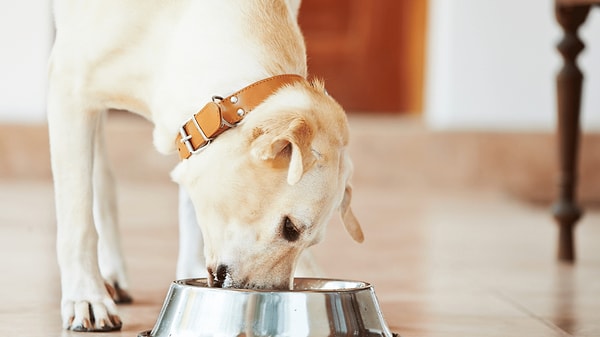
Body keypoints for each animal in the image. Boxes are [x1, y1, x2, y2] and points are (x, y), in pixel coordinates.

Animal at [47, 0, 364, 330]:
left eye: (311, 241)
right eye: (290, 227)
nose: (273, 299)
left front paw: (190, 274)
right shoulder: (69, 90)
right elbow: (78, 223)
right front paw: (86, 296)